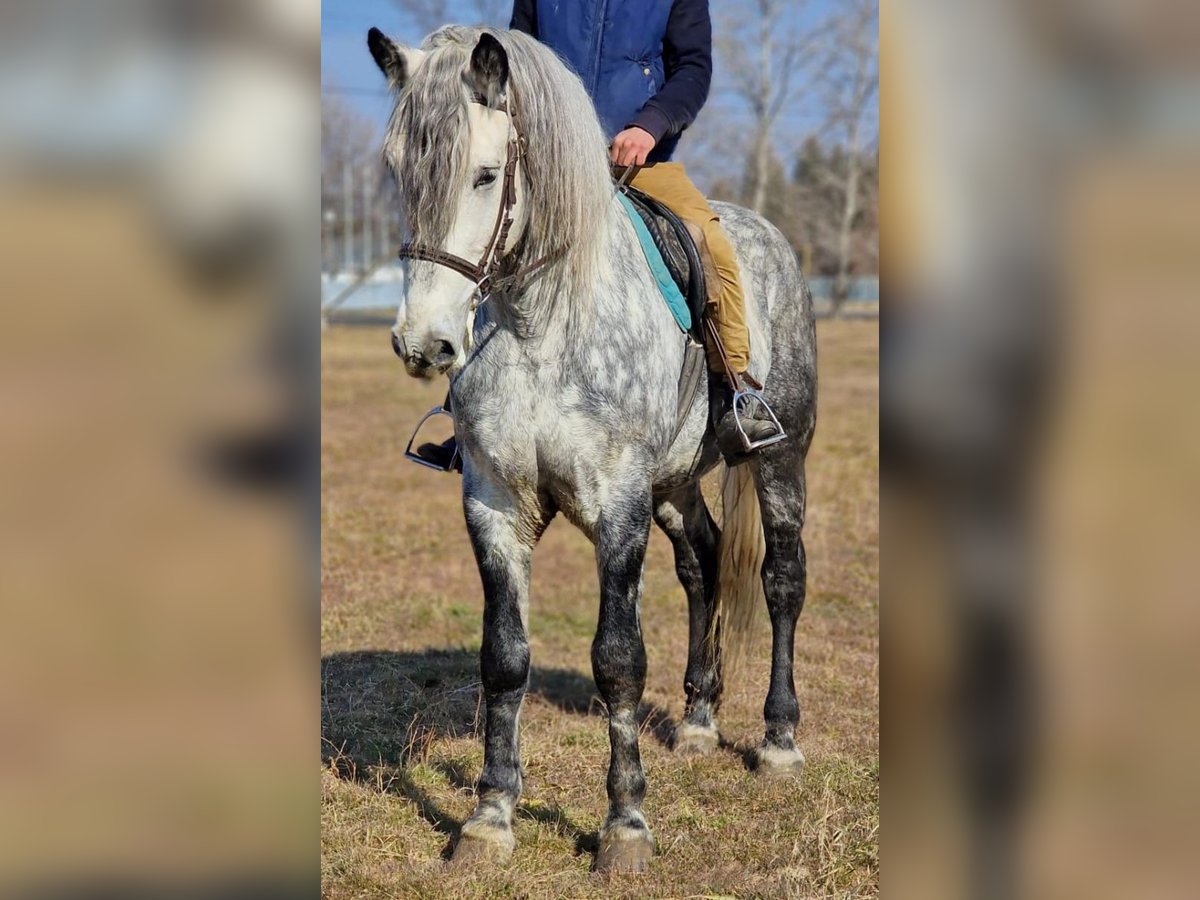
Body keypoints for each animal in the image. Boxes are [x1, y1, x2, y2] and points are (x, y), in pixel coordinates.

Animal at [364, 26, 816, 873]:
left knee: (780, 583)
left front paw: (625, 825)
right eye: (398, 170)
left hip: (780, 462)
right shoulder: (494, 504)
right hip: (675, 484)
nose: (424, 343)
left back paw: (777, 741)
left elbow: (618, 659)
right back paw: (700, 722)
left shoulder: (618, 504)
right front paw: (489, 817)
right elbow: (504, 657)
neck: (542, 326)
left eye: (486, 174)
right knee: (704, 563)